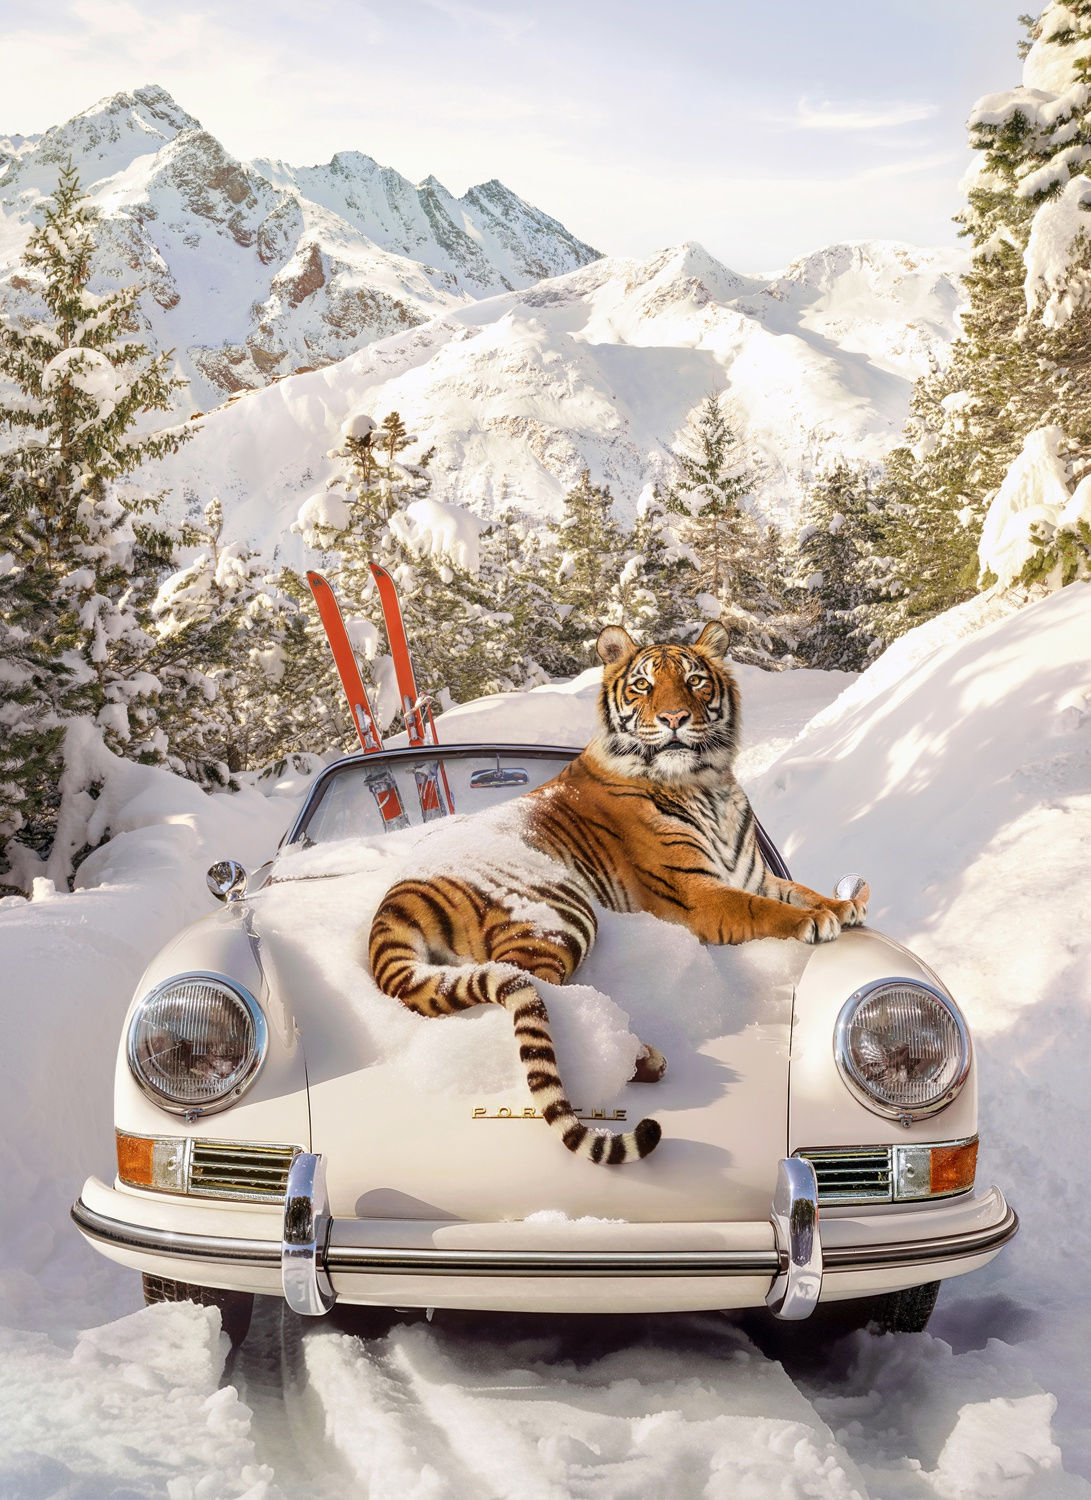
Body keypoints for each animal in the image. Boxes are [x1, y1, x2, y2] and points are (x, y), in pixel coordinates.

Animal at [368, 620, 869, 1166]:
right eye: (643, 686)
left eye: (694, 681)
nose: (674, 719)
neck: (707, 785)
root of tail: (398, 897)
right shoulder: (698, 893)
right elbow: (766, 910)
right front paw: (815, 922)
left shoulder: (752, 875)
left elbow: (800, 890)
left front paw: (846, 904)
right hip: (562, 911)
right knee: (536, 987)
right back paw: (638, 1057)